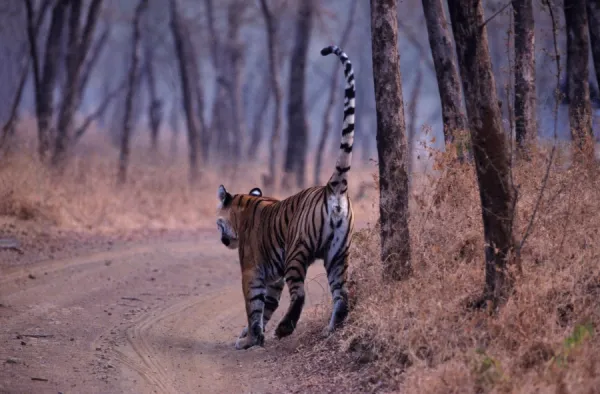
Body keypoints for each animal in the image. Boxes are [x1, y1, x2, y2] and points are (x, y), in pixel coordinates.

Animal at [217, 44, 354, 350]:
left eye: (218, 223)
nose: (222, 240)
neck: (244, 204)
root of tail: (332, 187)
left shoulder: (253, 271)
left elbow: (253, 307)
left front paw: (249, 339)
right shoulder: (273, 279)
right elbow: (265, 307)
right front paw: (251, 336)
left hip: (296, 251)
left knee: (300, 294)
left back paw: (285, 328)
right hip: (338, 255)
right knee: (341, 295)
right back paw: (330, 329)